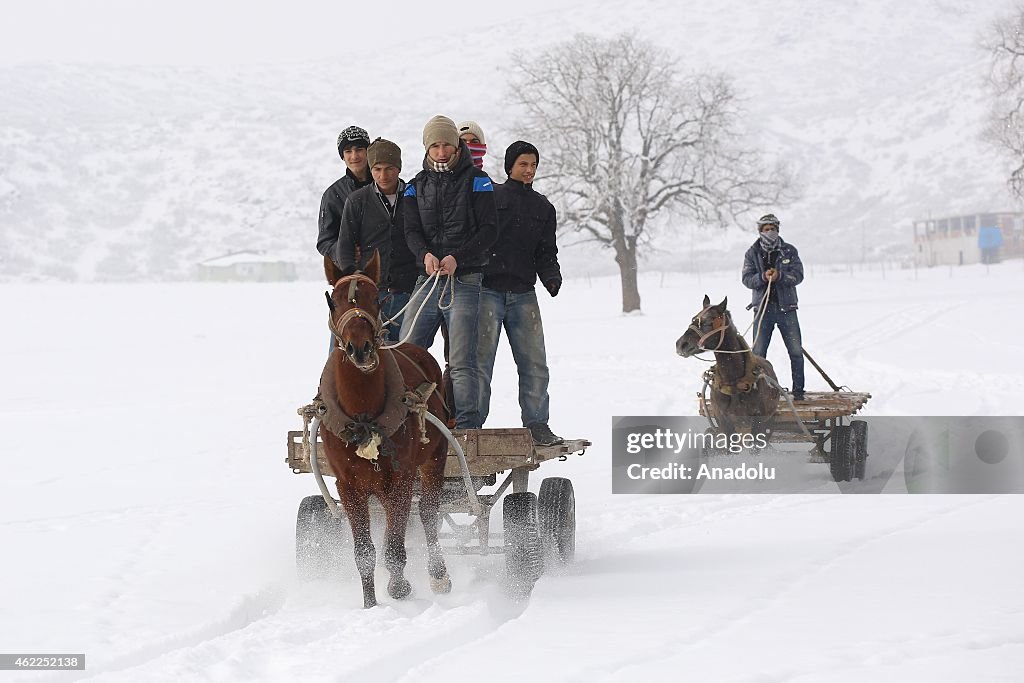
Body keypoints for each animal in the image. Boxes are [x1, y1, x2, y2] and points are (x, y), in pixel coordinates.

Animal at [319, 250, 448, 610]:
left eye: (377, 298)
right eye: (333, 300)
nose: (359, 348)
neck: (363, 414)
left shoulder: (401, 480)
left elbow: (393, 545)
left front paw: (399, 586)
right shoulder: (349, 486)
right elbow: (364, 552)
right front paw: (370, 603)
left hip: (435, 458)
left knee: (429, 514)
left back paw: (438, 573)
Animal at [675, 296, 778, 446]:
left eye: (709, 321)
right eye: (694, 318)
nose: (681, 344)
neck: (734, 382)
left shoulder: (758, 424)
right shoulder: (724, 423)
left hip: (768, 423)